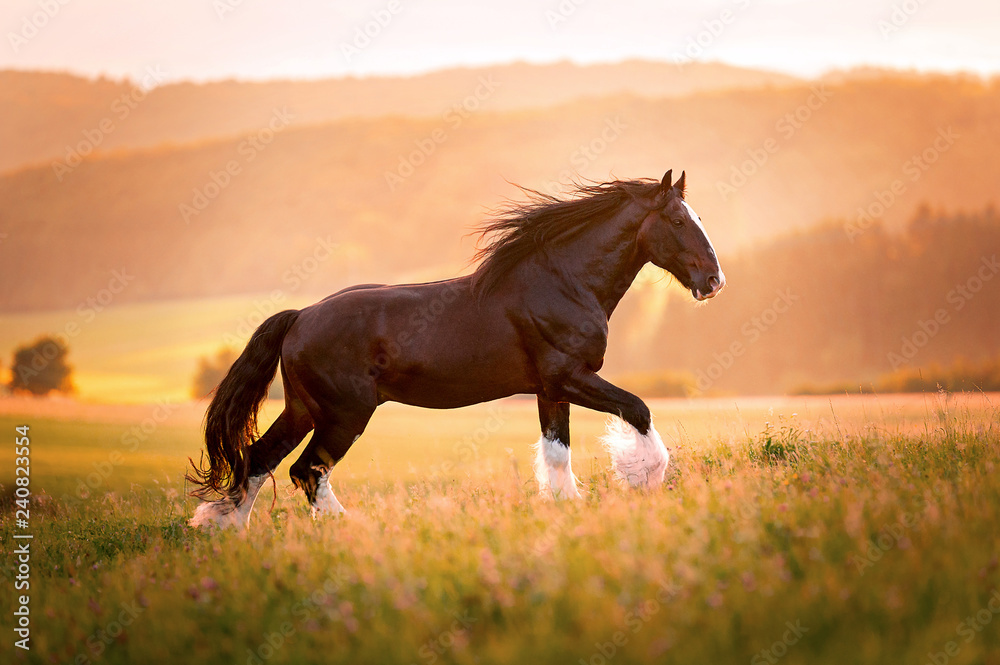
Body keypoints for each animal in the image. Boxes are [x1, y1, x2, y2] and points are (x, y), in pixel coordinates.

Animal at [189, 171, 728, 528]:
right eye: (678, 220)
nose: (714, 281)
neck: (564, 283)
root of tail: (299, 317)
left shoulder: (549, 389)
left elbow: (557, 454)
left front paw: (567, 510)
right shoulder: (570, 377)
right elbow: (638, 409)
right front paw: (644, 481)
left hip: (304, 409)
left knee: (258, 459)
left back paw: (228, 531)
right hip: (344, 415)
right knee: (306, 471)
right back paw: (348, 530)